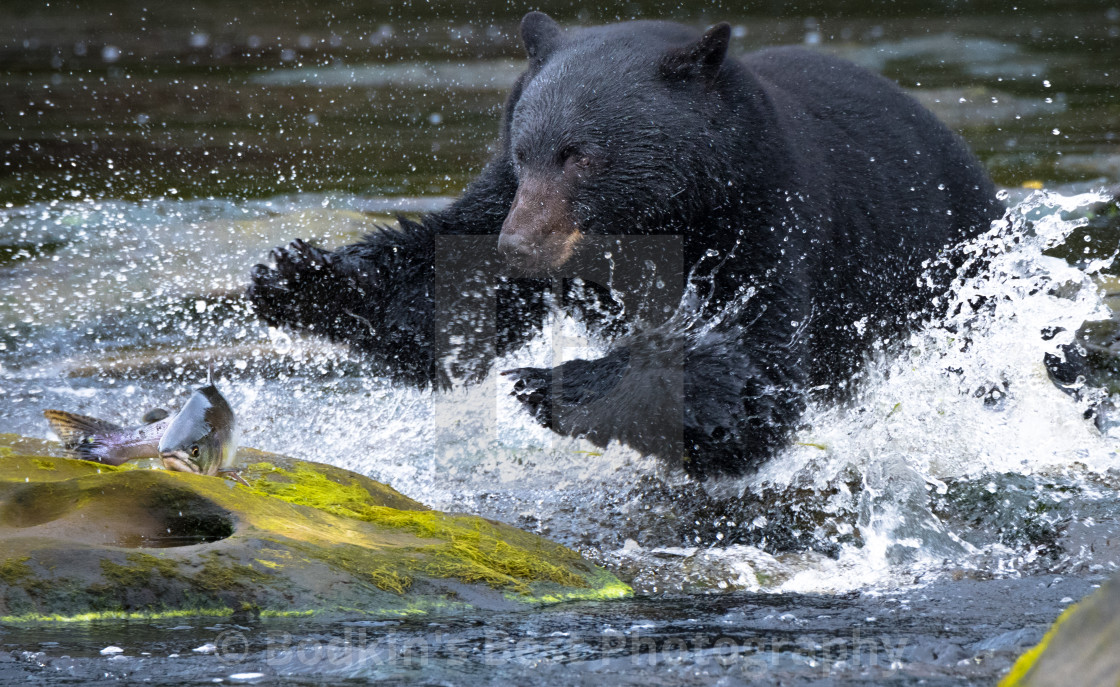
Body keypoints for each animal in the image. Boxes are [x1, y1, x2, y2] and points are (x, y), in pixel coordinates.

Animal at [249, 14, 1003, 477]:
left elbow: (755, 374)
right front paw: (301, 279)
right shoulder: (505, 200)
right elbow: (448, 293)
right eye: (525, 150)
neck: (661, 212)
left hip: (953, 279)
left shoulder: (767, 220)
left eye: (579, 155)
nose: (518, 246)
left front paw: (552, 381)